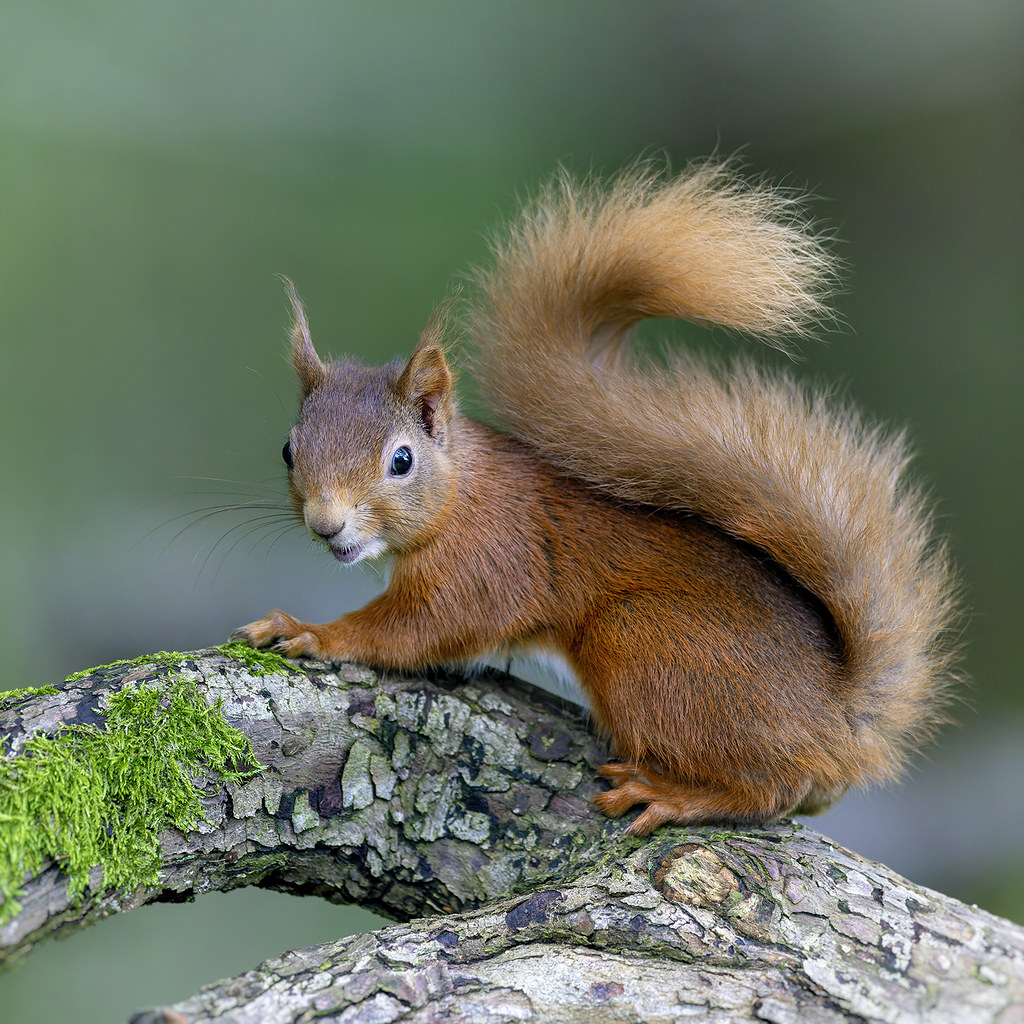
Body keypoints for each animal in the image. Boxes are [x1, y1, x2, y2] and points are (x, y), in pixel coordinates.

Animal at [235, 161, 959, 835]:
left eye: (401, 461)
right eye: (288, 450)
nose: (326, 526)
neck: (462, 495)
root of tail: (842, 720)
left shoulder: (489, 562)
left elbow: (414, 631)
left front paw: (308, 630)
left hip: (643, 642)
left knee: (770, 789)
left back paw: (672, 795)